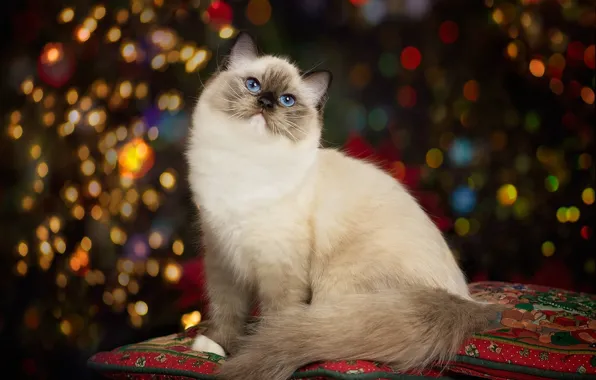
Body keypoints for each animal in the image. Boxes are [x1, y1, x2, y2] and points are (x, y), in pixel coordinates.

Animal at [186, 32, 502, 380]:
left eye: (287, 100)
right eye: (253, 85)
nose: (266, 102)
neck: (245, 162)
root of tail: (465, 303)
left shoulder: (279, 268)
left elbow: (275, 317)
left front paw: (249, 346)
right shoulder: (221, 257)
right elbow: (226, 311)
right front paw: (214, 347)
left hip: (336, 283)